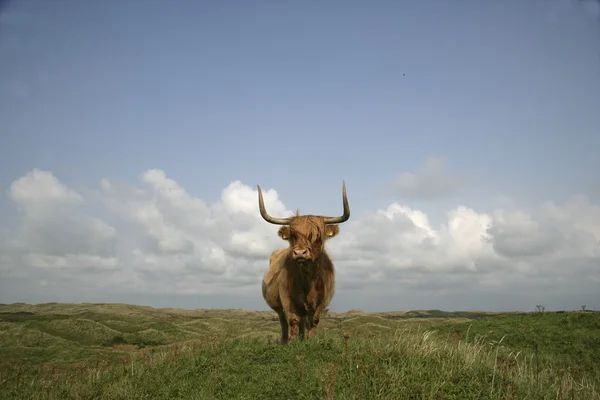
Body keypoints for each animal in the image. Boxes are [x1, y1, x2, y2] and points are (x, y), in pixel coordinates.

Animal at [255, 181, 350, 344]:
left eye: (317, 236)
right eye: (292, 236)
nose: (299, 253)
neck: (308, 278)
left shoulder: (322, 301)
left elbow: (313, 321)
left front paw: (310, 342)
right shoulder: (286, 298)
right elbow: (292, 320)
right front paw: (292, 343)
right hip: (278, 305)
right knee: (284, 321)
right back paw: (284, 341)